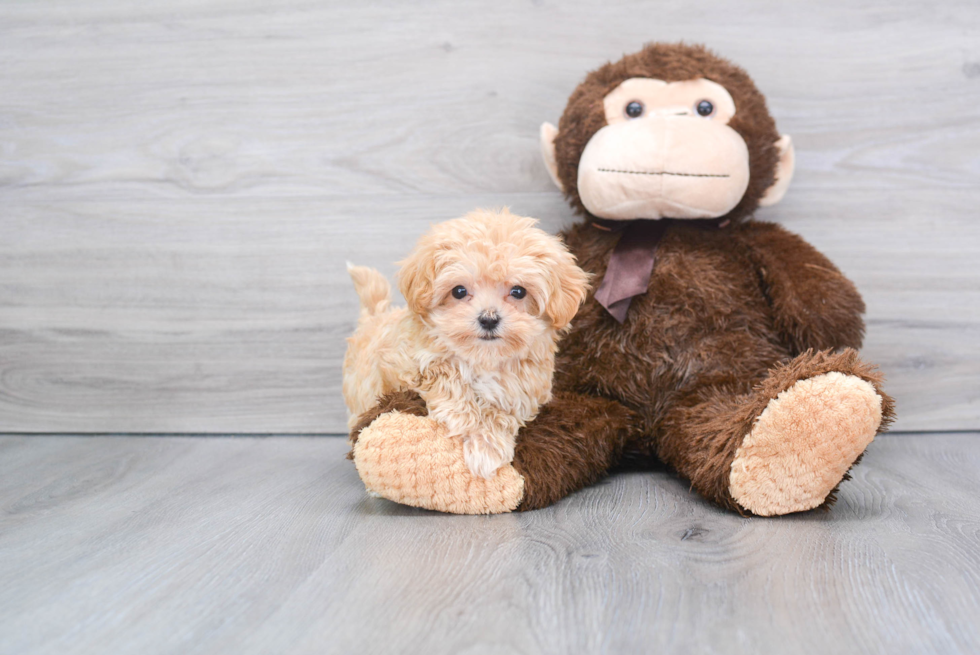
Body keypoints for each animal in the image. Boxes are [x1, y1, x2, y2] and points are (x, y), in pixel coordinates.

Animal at [342, 208, 588, 480]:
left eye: (518, 291)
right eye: (459, 291)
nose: (488, 319)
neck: (483, 358)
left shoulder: (526, 389)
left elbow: (501, 411)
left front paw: (487, 449)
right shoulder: (408, 362)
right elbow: (445, 373)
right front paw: (464, 420)